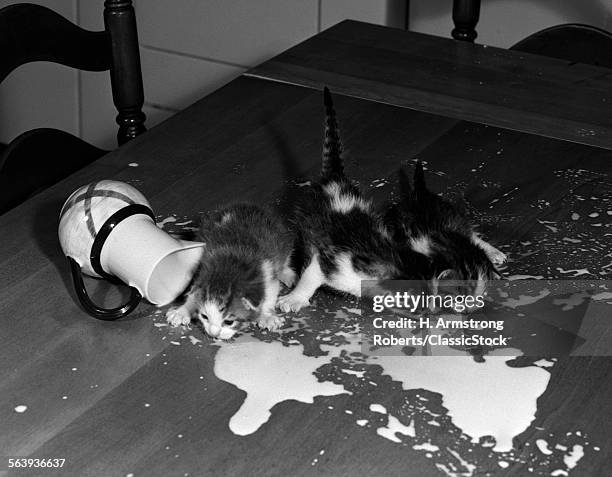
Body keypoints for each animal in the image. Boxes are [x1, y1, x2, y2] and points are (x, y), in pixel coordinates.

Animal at [165, 203, 294, 340]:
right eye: (205, 316)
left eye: (228, 322)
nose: (213, 334)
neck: (229, 265)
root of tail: (248, 205)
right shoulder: (203, 268)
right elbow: (193, 293)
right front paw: (182, 311)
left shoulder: (267, 270)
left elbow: (270, 293)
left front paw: (267, 316)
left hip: (282, 241)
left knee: (285, 260)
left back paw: (288, 275)